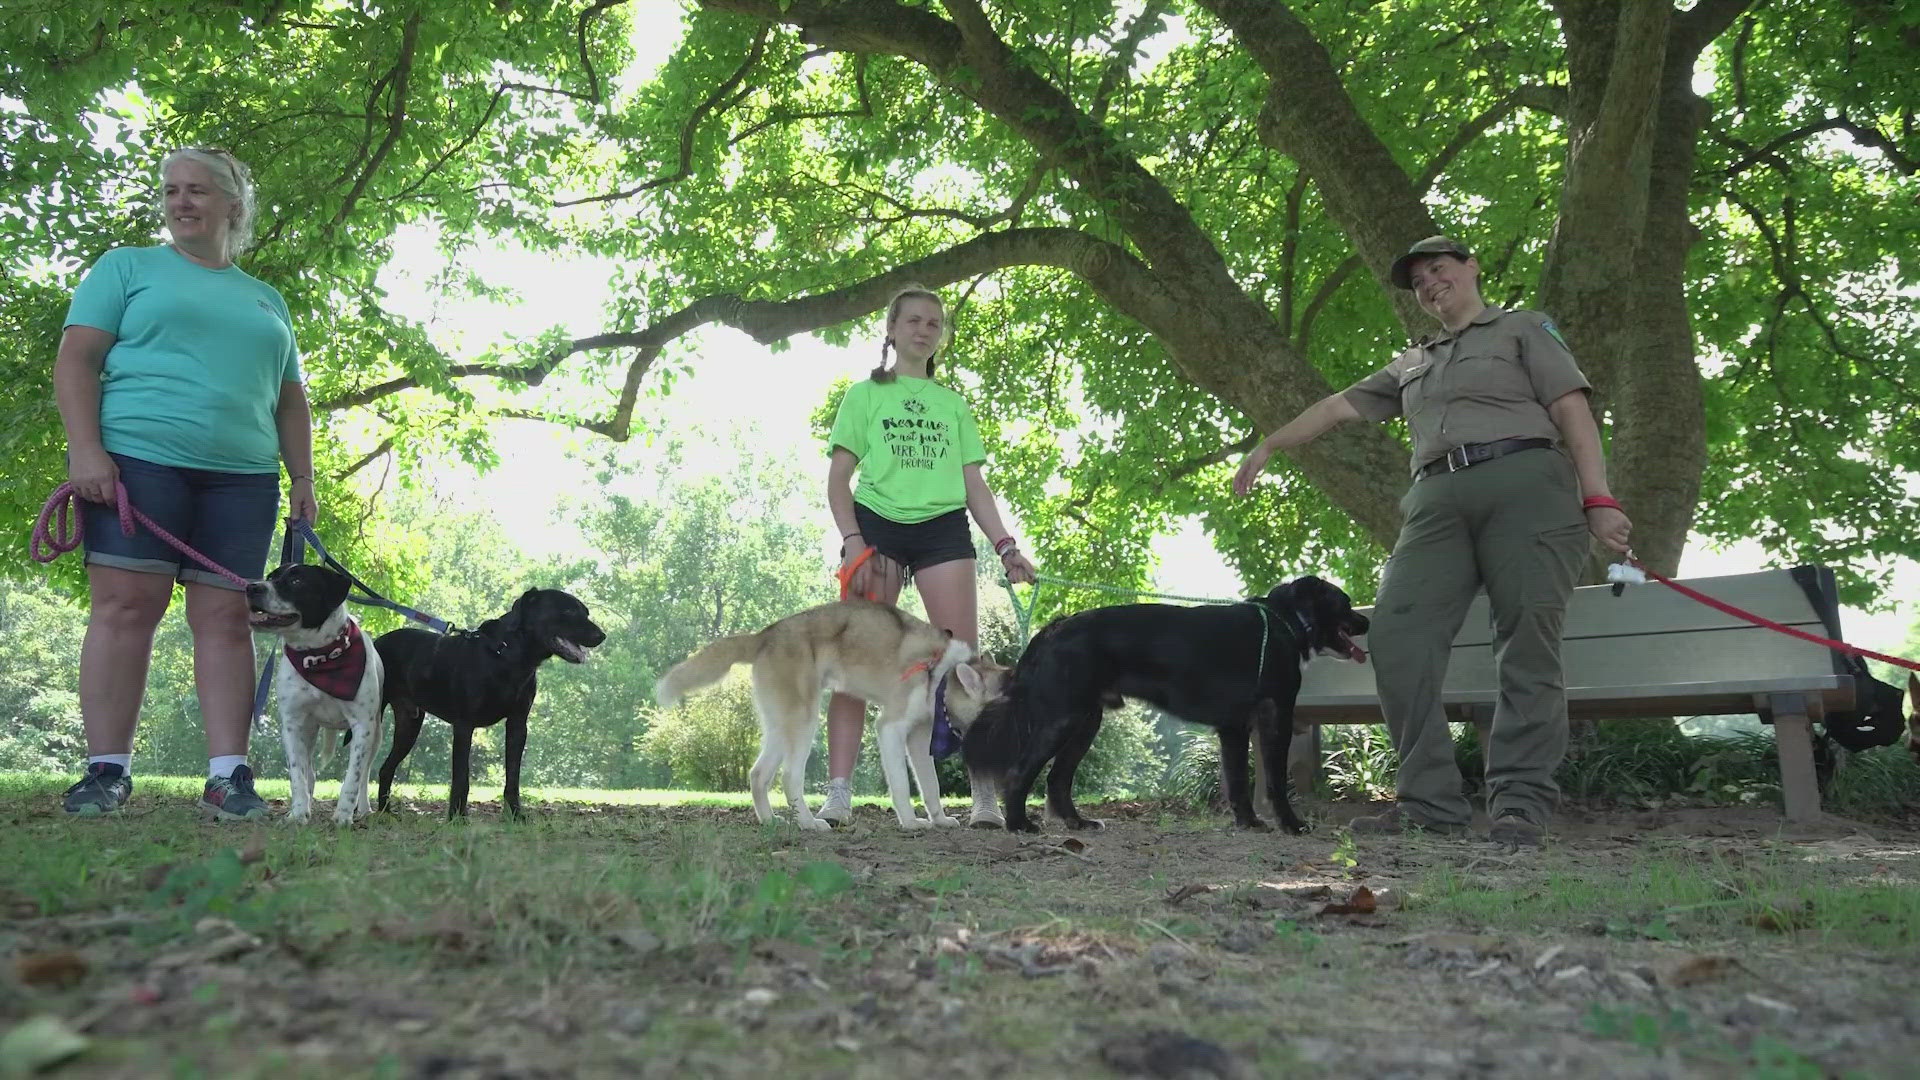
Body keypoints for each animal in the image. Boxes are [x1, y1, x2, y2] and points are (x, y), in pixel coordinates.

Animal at [245, 564, 384, 822]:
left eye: (297, 581)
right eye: (270, 577)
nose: (251, 587)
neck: (319, 656)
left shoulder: (362, 726)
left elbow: (353, 777)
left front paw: (343, 815)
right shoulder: (293, 724)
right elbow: (297, 775)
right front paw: (299, 812)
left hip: (376, 734)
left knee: (364, 775)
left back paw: (363, 808)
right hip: (309, 731)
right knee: (309, 772)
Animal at [378, 588, 602, 814]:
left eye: (586, 612)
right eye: (568, 610)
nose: (602, 636)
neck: (508, 654)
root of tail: (376, 641)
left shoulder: (518, 724)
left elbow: (513, 778)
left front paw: (516, 815)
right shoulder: (464, 725)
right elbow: (461, 779)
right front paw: (457, 818)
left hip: (409, 724)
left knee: (385, 769)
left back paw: (385, 813)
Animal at [656, 599, 1013, 826]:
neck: (940, 675)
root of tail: (765, 635)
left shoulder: (919, 738)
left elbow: (931, 786)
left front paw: (938, 820)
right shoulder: (890, 728)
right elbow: (901, 784)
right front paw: (911, 823)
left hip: (781, 725)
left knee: (758, 775)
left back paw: (771, 822)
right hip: (804, 721)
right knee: (789, 777)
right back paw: (808, 824)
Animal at [975, 572, 1367, 834]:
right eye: (1345, 603)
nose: (1365, 620)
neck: (1286, 621)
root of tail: (1057, 625)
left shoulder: (1235, 727)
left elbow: (1238, 781)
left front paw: (1248, 822)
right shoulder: (1277, 717)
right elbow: (1275, 782)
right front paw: (1291, 824)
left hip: (1085, 721)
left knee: (1058, 779)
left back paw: (1078, 823)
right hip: (1064, 719)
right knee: (1020, 772)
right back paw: (1018, 824)